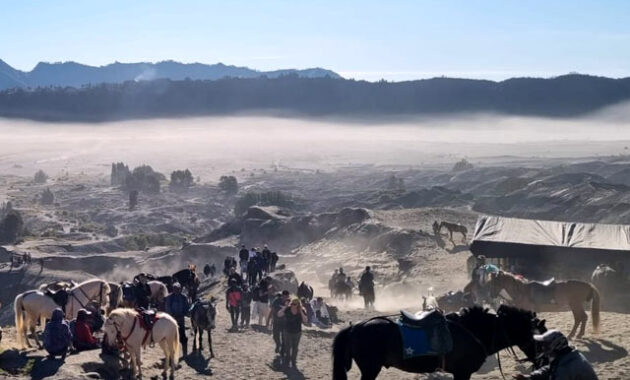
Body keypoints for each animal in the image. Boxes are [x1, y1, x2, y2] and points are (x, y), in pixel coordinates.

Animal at [334, 304, 544, 380]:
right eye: (540, 338)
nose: (541, 361)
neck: (473, 330)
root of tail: (355, 327)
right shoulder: (462, 373)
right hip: (370, 369)